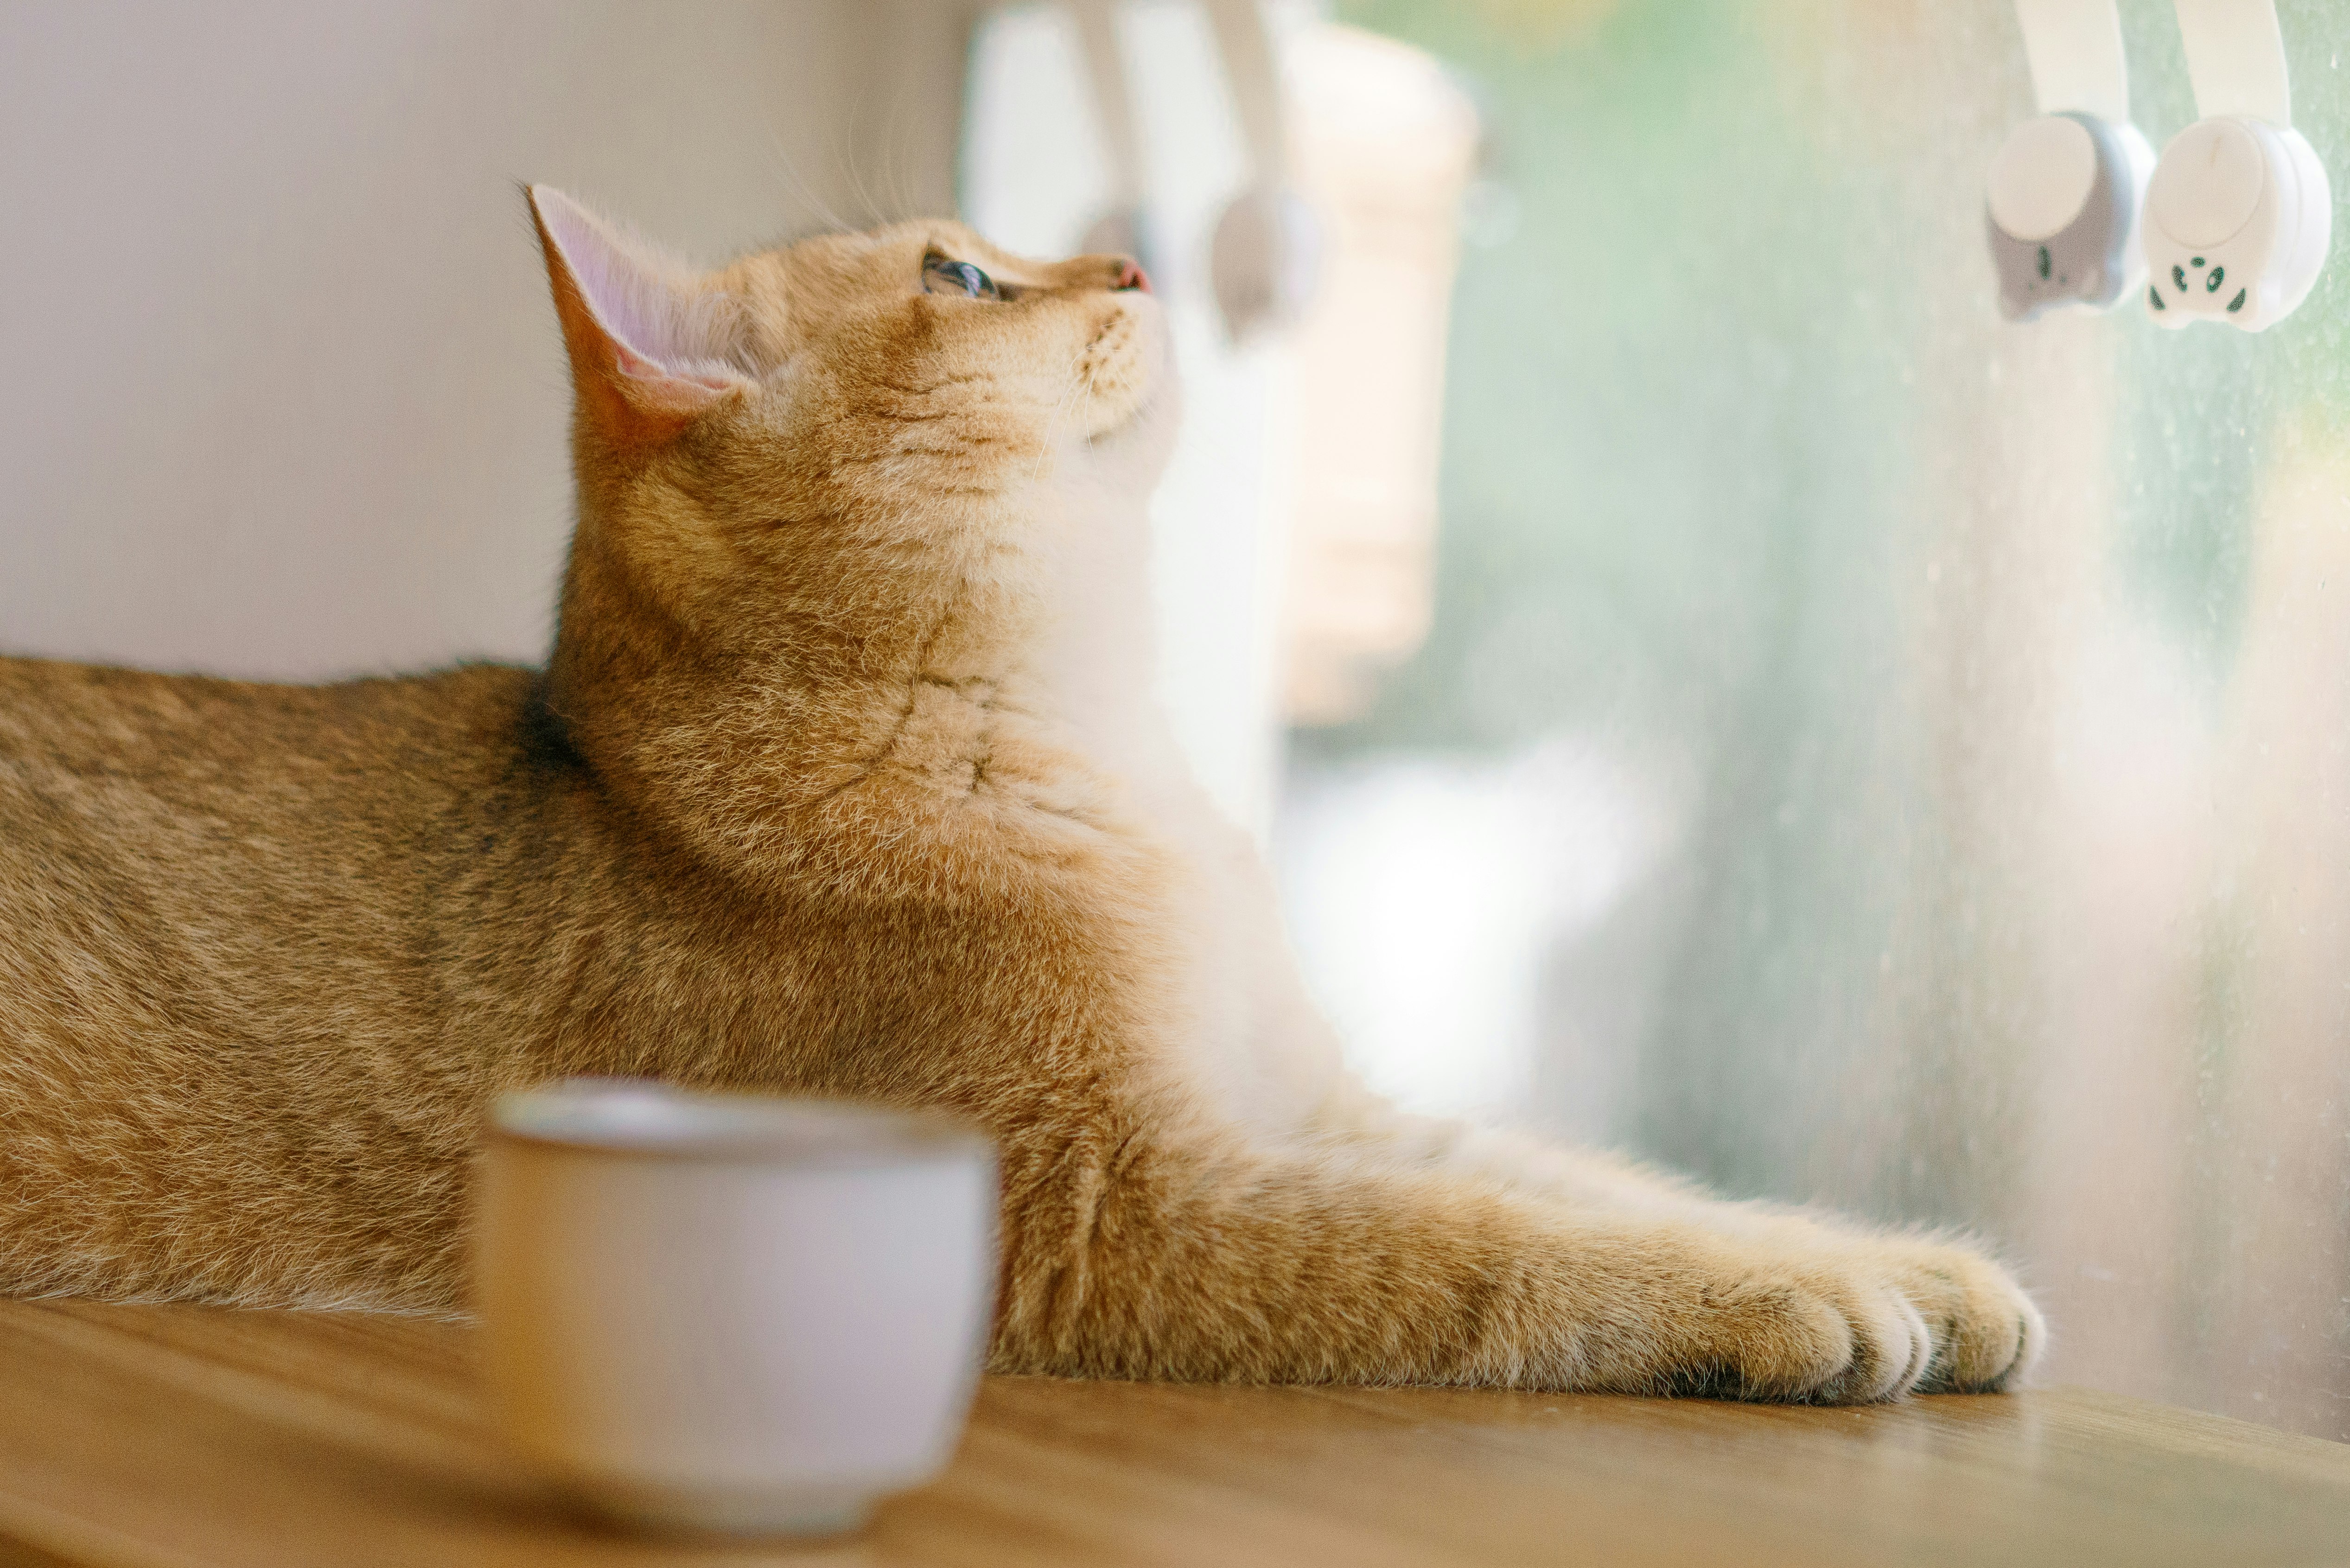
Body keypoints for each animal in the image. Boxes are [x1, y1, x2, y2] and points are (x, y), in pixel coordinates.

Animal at [0, 190, 2039, 1401]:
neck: (1108, 766)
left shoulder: (1316, 1103)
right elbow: (1490, 1243)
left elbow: (1589, 1173)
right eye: (960, 276)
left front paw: (1904, 1265)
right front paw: (1781, 1308)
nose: (1131, 259)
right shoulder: (1109, 1201)